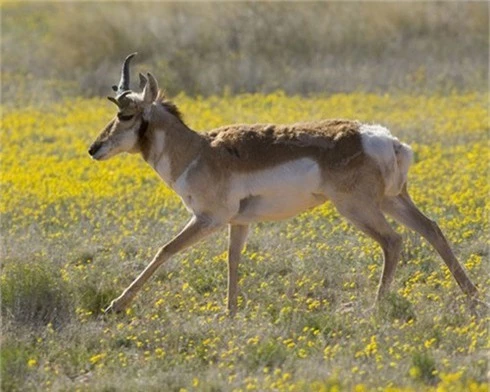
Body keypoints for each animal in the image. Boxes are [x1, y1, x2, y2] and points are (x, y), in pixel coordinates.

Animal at [88, 54, 478, 316]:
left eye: (125, 114)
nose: (94, 148)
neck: (199, 150)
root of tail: (384, 139)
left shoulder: (207, 219)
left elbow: (165, 249)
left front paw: (115, 305)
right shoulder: (239, 222)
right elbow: (233, 259)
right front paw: (230, 312)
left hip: (358, 209)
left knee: (393, 241)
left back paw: (375, 307)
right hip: (392, 201)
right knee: (431, 228)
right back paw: (472, 295)